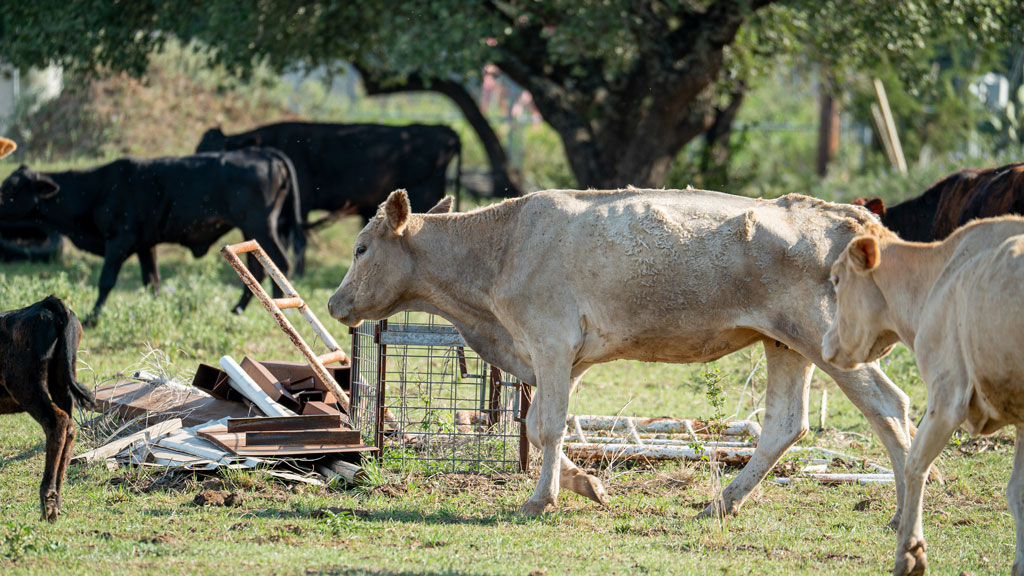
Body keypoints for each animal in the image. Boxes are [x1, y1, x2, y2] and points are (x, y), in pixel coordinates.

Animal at [0, 147, 303, 317]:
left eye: (12, 188)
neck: (99, 188)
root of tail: (263, 152)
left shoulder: (119, 240)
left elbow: (106, 280)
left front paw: (93, 317)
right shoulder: (146, 245)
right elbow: (152, 281)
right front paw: (157, 308)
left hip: (259, 225)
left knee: (280, 263)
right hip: (250, 229)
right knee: (258, 268)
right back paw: (238, 309)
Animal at [1, 295, 93, 520]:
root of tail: (46, 304)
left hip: (28, 387)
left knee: (57, 422)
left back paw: (48, 504)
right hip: (61, 384)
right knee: (69, 428)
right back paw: (56, 503)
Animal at [327, 187, 913, 520]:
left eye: (360, 248)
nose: (334, 302)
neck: (501, 247)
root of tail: (848, 218)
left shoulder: (550, 341)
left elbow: (549, 426)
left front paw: (541, 500)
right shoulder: (570, 356)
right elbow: (540, 423)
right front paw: (587, 485)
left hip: (828, 342)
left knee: (891, 408)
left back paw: (904, 514)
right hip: (785, 343)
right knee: (785, 424)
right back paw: (721, 502)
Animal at [823, 213, 1024, 569]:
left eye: (836, 279)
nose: (825, 343)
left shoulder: (947, 397)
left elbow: (914, 463)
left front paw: (909, 552)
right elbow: (1017, 491)